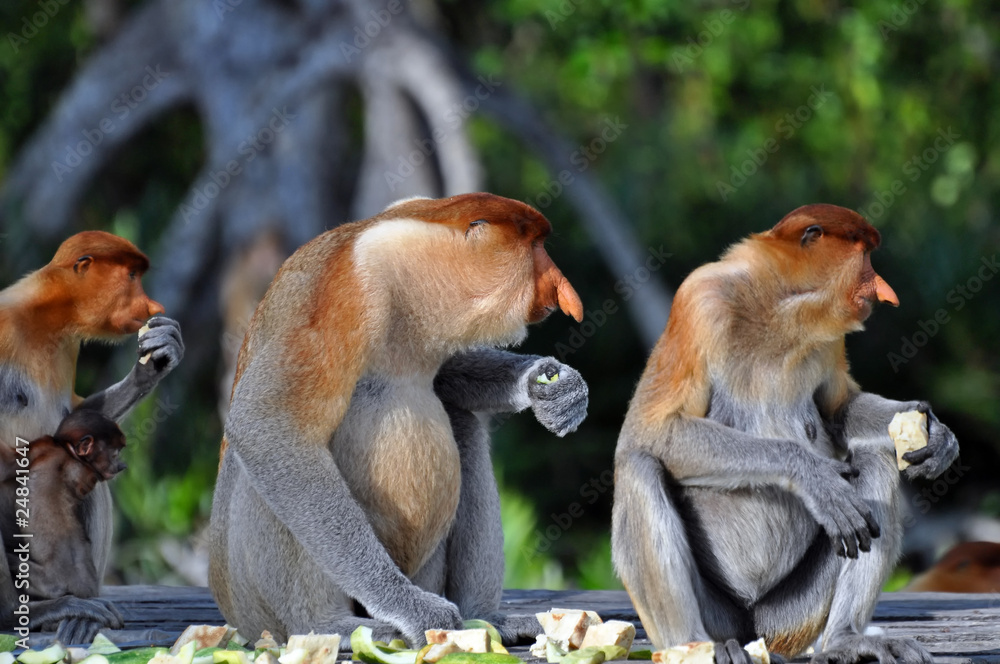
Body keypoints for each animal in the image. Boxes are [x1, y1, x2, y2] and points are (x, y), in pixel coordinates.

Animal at [0, 231, 184, 639]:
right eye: (131, 275)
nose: (154, 305)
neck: (44, 315)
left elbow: (73, 419)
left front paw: (156, 359)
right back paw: (32, 611)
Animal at [209, 193, 589, 648]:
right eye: (535, 247)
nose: (566, 293)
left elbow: (447, 377)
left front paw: (549, 388)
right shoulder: (343, 290)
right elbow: (267, 421)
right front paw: (410, 607)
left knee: (461, 420)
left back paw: (485, 618)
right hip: (251, 602)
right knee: (270, 460)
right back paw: (327, 625)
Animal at [611, 205, 960, 664]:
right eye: (865, 256)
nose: (884, 290)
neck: (782, 304)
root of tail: (753, 625)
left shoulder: (830, 339)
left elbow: (838, 409)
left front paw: (939, 439)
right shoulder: (700, 301)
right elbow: (649, 431)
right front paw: (814, 479)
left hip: (791, 616)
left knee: (875, 460)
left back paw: (846, 639)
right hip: (722, 614)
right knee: (639, 466)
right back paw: (696, 646)